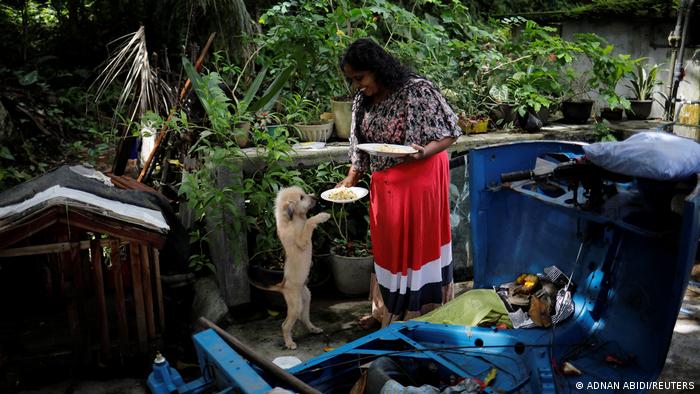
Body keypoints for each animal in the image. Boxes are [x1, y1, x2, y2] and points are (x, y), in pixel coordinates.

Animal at [268, 186, 330, 350]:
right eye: (301, 197)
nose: (315, 197)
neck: (293, 219)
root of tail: (283, 286)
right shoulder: (301, 241)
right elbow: (309, 222)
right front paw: (322, 216)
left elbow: (307, 221)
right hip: (295, 305)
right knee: (285, 325)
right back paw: (289, 343)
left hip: (306, 297)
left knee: (304, 317)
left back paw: (313, 329)